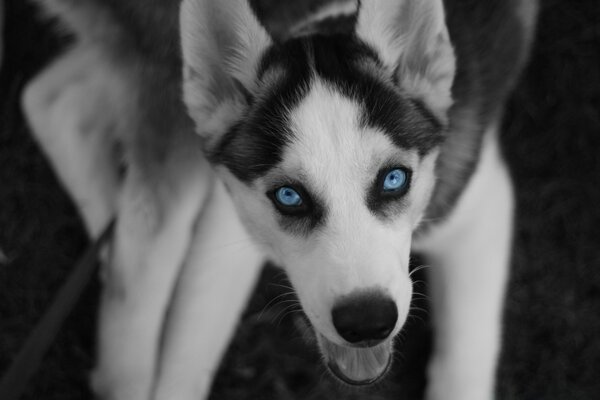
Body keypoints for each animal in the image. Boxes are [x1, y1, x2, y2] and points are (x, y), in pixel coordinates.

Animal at [22, 0, 540, 398]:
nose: (367, 323)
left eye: (394, 179)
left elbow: (464, 363)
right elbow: (186, 350)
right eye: (289, 196)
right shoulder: (228, 220)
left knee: (51, 98)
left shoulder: (478, 208)